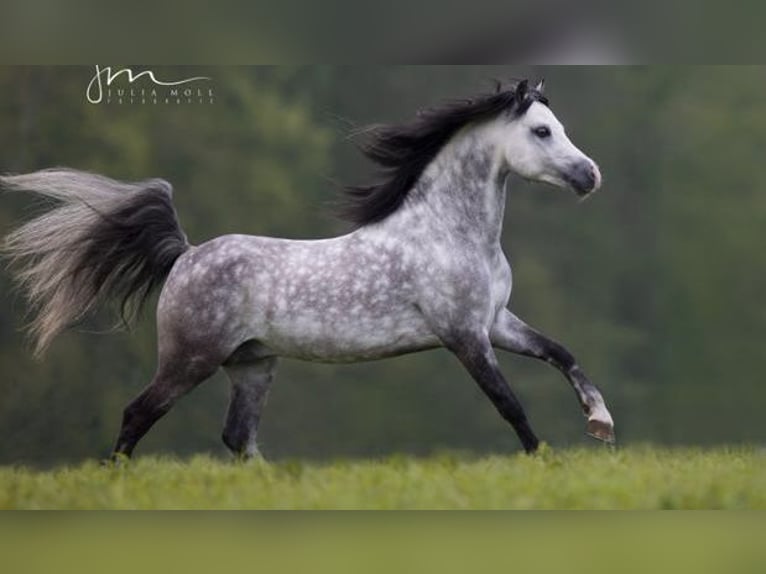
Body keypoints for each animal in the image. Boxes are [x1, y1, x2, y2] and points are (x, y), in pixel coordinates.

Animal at [0, 80, 612, 464]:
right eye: (541, 131)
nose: (590, 176)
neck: (448, 232)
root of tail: (185, 255)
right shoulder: (464, 335)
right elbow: (510, 404)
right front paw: (546, 462)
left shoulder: (496, 322)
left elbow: (562, 354)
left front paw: (600, 423)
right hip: (191, 358)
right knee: (137, 414)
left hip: (252, 365)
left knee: (237, 436)